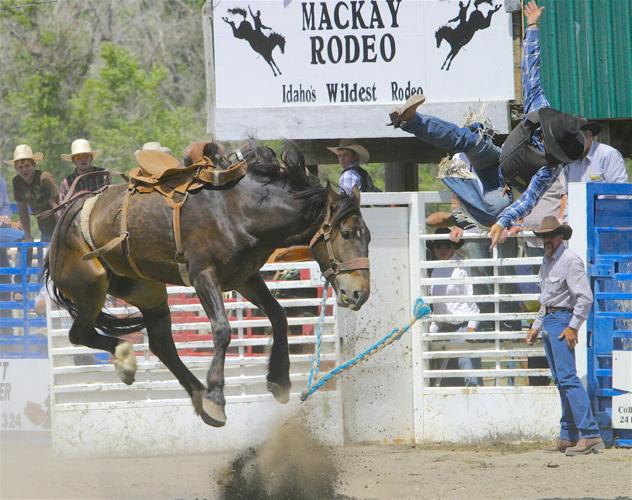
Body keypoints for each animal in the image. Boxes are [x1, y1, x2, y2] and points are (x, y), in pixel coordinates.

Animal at [45, 141, 370, 426]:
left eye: (367, 236)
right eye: (346, 233)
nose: (360, 292)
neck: (240, 210)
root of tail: (66, 217)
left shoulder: (244, 277)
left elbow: (278, 315)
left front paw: (279, 380)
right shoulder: (203, 275)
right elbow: (222, 330)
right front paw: (217, 397)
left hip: (145, 289)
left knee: (161, 344)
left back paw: (196, 396)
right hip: (92, 285)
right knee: (79, 333)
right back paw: (131, 362)